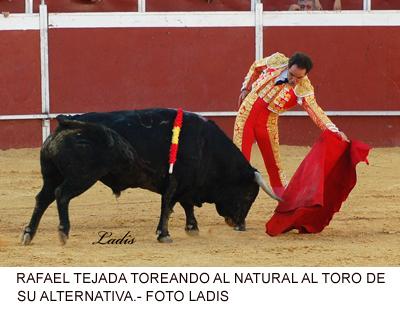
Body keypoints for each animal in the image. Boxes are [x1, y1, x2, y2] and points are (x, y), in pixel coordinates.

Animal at [20, 109, 280, 244]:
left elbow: (185, 205)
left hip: (52, 175)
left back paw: (28, 234)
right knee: (61, 195)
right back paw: (63, 232)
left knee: (42, 199)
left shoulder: (185, 184)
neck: (206, 145)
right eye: (249, 195)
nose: (240, 226)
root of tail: (66, 123)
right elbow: (168, 205)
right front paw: (164, 234)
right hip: (82, 176)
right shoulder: (176, 181)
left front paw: (192, 228)